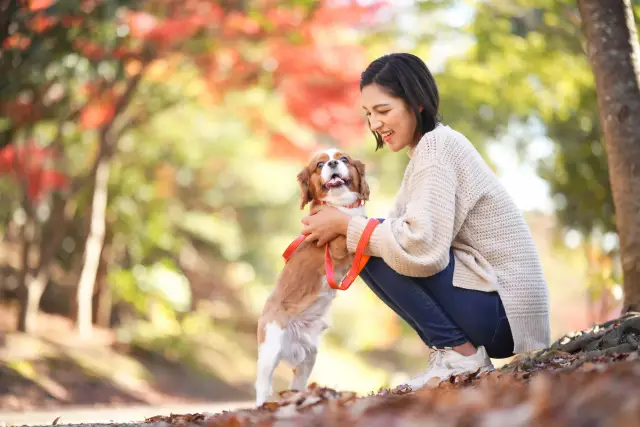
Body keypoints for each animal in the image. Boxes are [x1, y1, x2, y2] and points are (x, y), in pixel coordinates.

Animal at [255, 149, 370, 406]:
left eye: (344, 159)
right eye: (319, 165)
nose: (333, 163)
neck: (340, 205)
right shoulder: (337, 245)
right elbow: (356, 224)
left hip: (309, 357)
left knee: (297, 383)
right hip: (270, 350)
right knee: (262, 387)